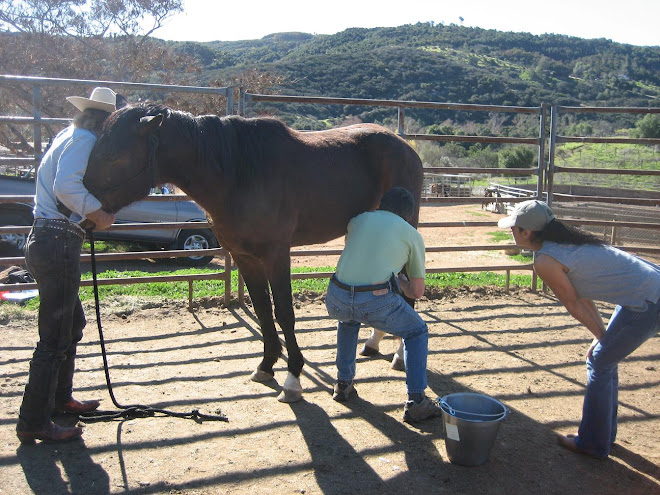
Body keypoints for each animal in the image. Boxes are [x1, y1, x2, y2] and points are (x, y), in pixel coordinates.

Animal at [84, 104, 422, 404]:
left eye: (114, 156)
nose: (83, 211)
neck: (238, 173)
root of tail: (405, 146)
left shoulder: (276, 254)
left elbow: (283, 313)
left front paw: (293, 379)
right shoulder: (245, 257)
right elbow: (261, 311)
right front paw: (266, 366)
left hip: (406, 226)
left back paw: (399, 356)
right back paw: (374, 341)